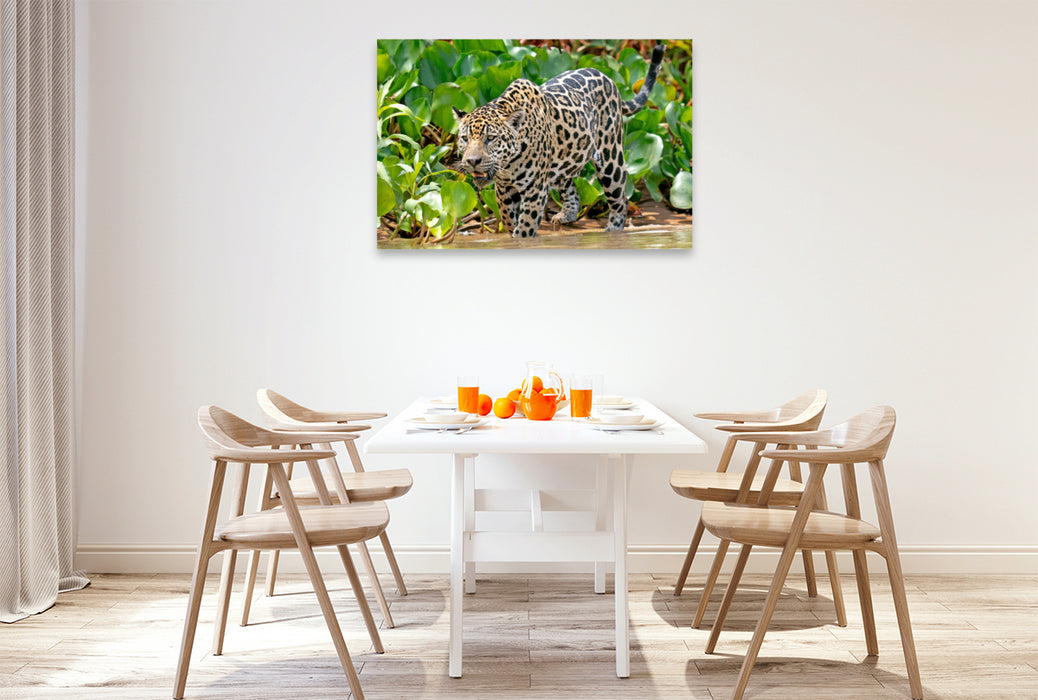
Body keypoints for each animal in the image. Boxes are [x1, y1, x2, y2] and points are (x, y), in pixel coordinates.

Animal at [452, 44, 665, 238]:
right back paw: (566, 215)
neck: (509, 163)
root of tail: (607, 77)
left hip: (610, 159)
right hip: (563, 163)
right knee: (573, 190)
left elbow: (525, 227)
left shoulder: (535, 189)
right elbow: (507, 218)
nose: (472, 161)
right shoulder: (504, 188)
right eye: (465, 138)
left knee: (620, 200)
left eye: (490, 138)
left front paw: (521, 237)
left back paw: (613, 230)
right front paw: (511, 231)